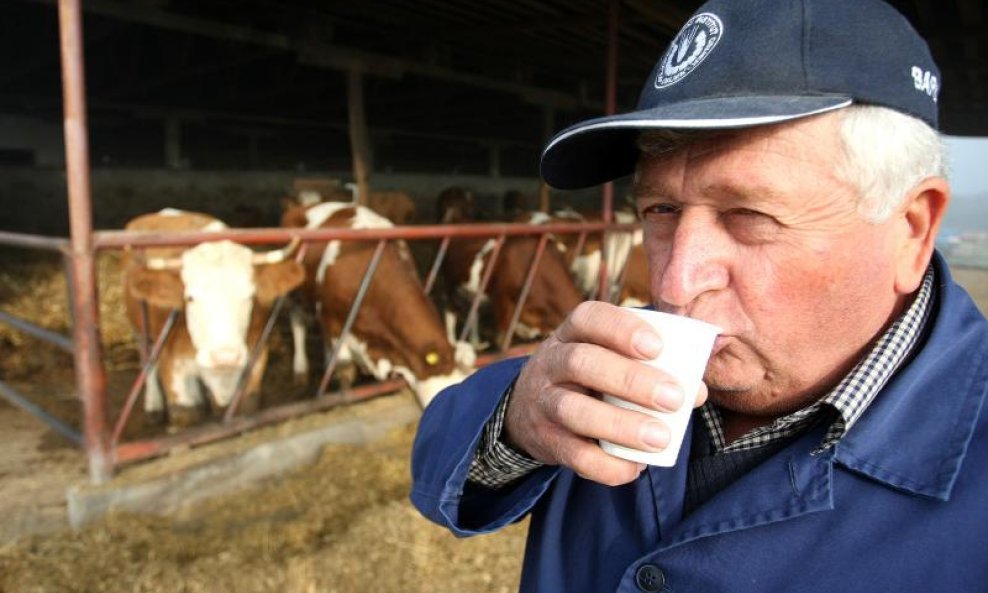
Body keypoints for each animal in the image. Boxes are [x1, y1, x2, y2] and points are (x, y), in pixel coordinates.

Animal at [122, 208, 304, 426]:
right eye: (190, 297)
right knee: (146, 357)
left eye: (251, 295)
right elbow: (186, 415)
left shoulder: (255, 363)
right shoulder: (171, 367)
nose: (225, 357)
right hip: (138, 329)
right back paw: (153, 405)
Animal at [282, 200, 474, 408]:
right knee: (297, 323)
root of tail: (306, 205)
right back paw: (300, 369)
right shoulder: (331, 318)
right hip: (293, 292)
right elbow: (345, 370)